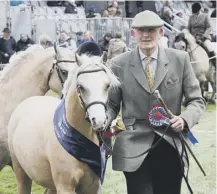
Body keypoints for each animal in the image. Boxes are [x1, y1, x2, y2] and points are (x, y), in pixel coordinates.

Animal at [7, 52, 119, 194]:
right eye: (81, 87)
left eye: (107, 85)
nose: (99, 121)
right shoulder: (65, 187)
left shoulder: (93, 187)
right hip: (21, 173)